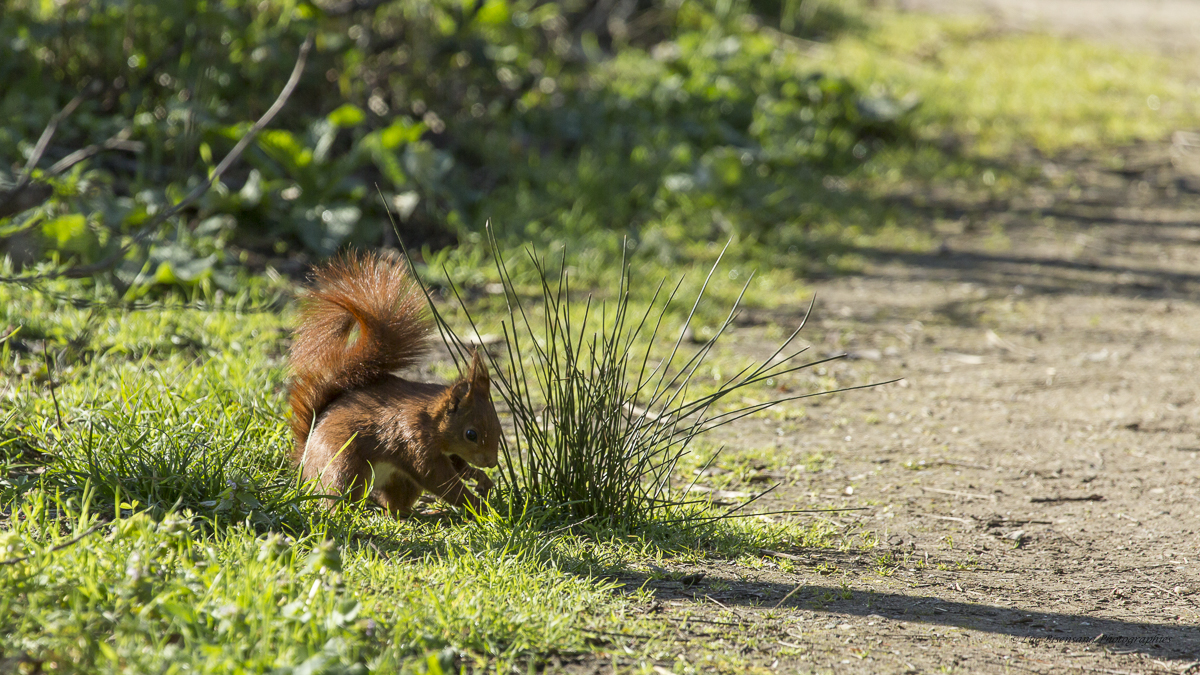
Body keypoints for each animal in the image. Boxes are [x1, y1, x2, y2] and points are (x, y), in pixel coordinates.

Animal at [289, 249, 501, 511]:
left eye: (499, 426)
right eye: (470, 434)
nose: (491, 462)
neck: (432, 422)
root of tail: (305, 456)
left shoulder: (446, 451)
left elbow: (459, 467)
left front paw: (480, 478)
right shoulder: (415, 442)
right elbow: (440, 480)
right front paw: (477, 506)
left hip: (400, 483)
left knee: (395, 507)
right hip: (344, 466)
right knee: (339, 495)